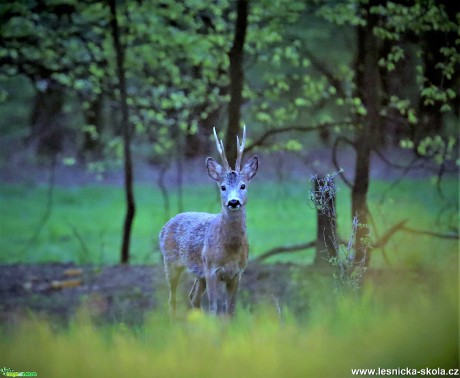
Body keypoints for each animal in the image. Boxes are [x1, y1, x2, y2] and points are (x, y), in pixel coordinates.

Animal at [159, 127, 258, 316]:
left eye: (243, 185)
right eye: (223, 187)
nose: (233, 202)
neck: (230, 248)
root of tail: (166, 225)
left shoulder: (237, 273)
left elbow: (230, 310)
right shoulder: (211, 269)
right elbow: (214, 308)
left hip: (199, 273)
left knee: (193, 297)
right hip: (171, 261)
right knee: (172, 300)